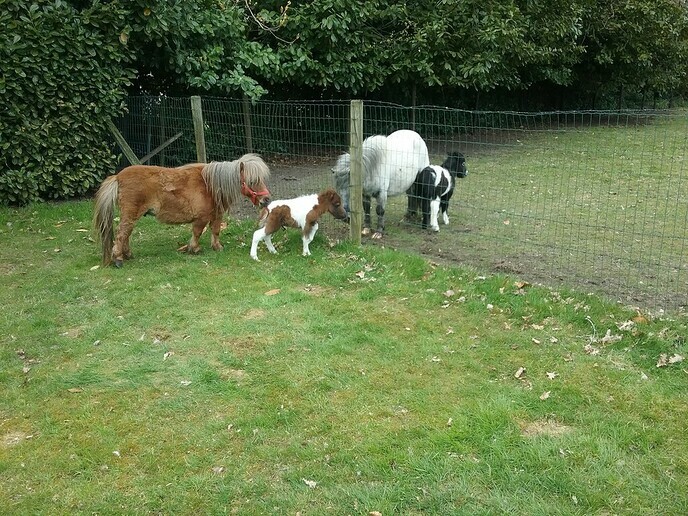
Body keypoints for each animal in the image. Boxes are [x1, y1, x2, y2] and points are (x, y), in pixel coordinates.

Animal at [93, 154, 271, 267]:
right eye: (252, 181)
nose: (267, 199)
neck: (209, 185)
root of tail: (117, 177)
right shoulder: (201, 218)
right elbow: (197, 233)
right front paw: (195, 249)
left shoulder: (216, 215)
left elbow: (215, 231)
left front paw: (217, 247)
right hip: (130, 215)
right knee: (122, 234)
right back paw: (118, 258)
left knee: (126, 235)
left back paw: (127, 255)